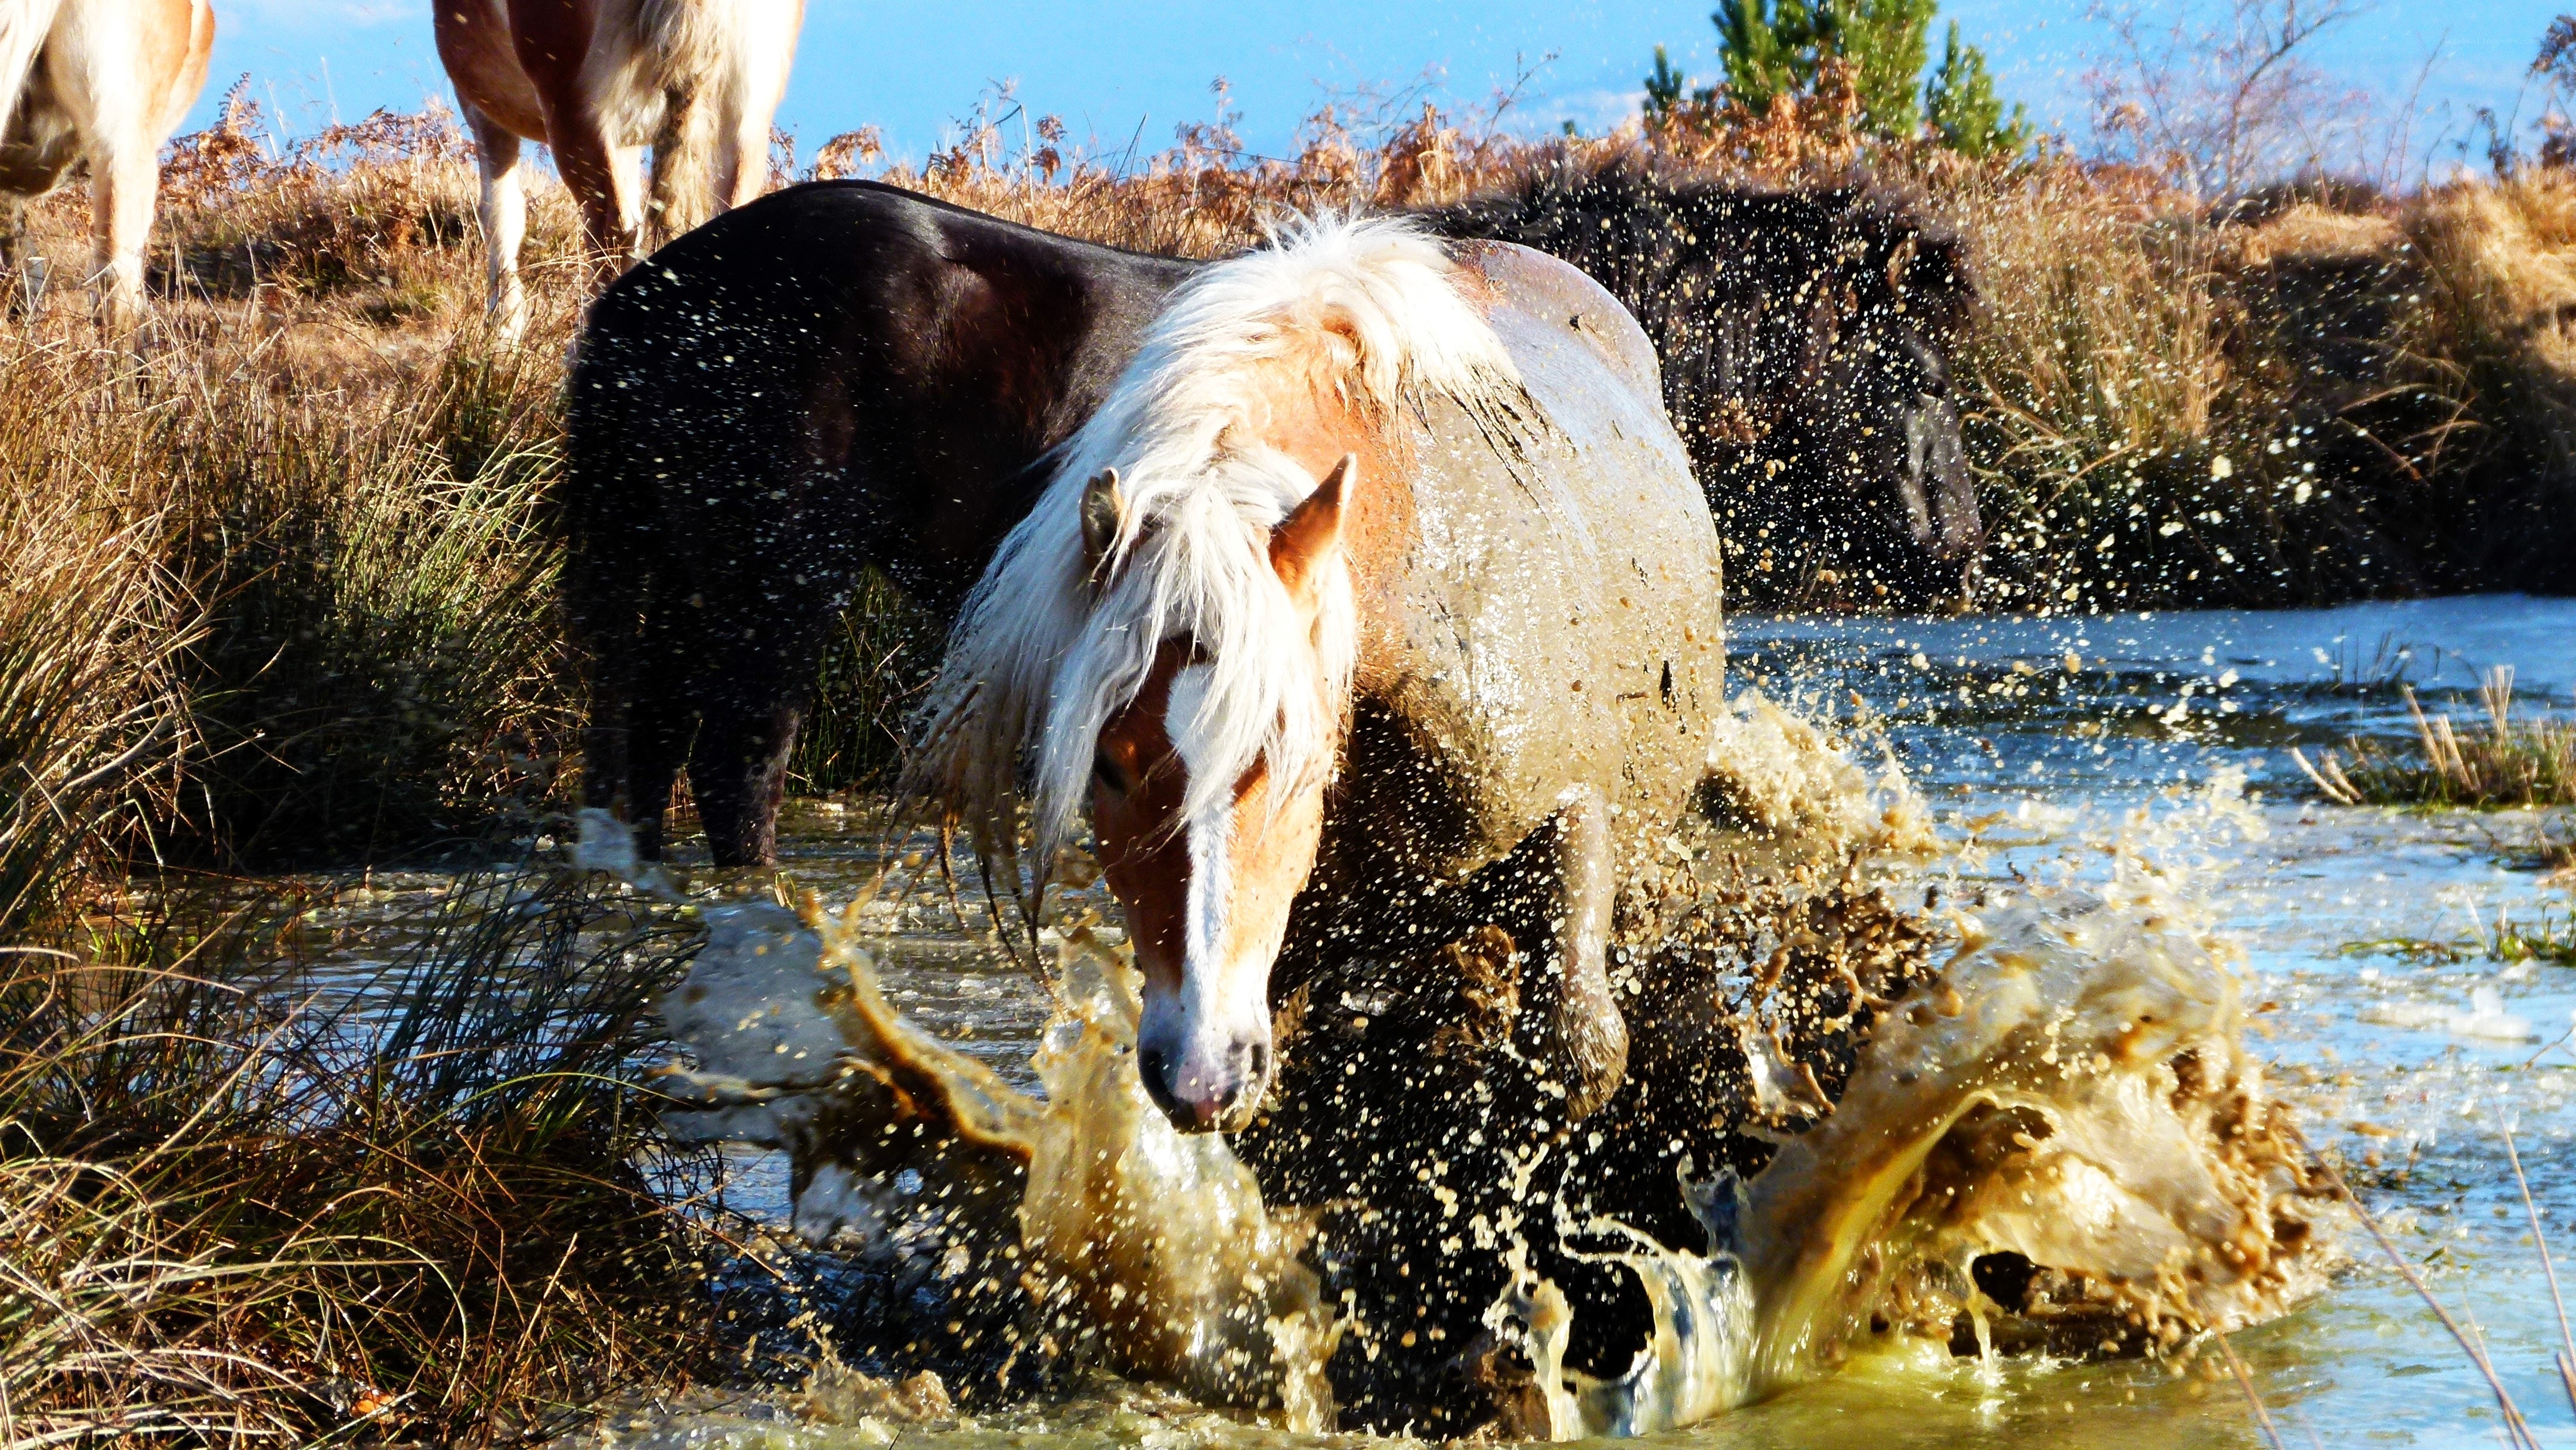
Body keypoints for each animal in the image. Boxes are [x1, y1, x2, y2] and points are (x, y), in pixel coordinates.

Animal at [434, 0, 802, 340]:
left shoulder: (482, 107)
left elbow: (499, 213)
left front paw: (503, 330)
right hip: (747, 115)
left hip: (575, 112)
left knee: (611, 232)